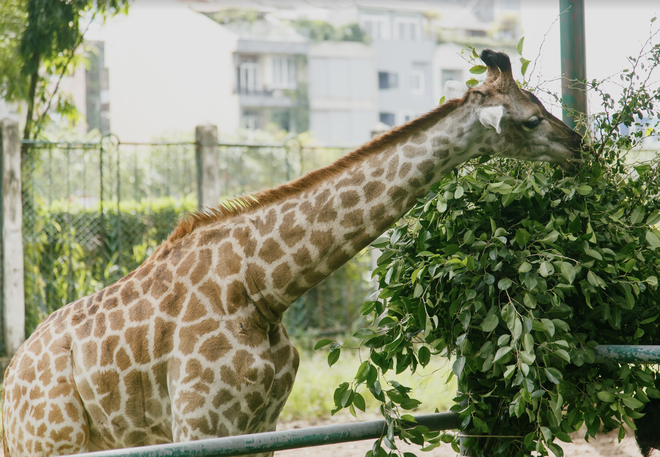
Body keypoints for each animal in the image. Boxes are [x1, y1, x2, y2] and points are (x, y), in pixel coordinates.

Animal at [2, 50, 580, 456]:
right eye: (531, 118)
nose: (579, 146)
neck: (263, 290)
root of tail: (9, 388)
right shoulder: (197, 427)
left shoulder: (262, 427)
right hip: (52, 442)